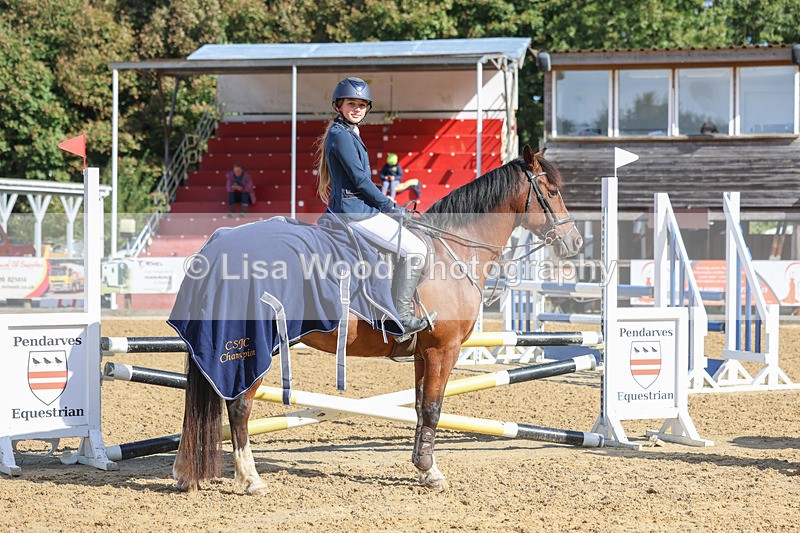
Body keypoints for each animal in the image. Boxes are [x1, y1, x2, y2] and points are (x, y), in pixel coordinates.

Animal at [172, 145, 583, 493]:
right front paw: (431, 472)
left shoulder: (423, 353)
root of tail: (221, 243)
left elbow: (420, 407)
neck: (452, 250)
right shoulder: (443, 350)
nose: (576, 242)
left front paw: (422, 467)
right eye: (551, 190)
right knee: (239, 406)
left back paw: (186, 472)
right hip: (252, 348)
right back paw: (251, 479)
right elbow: (433, 408)